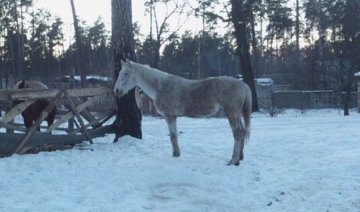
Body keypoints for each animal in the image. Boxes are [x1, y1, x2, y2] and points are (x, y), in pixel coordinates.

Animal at [114, 59, 252, 166]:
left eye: (126, 73)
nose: (117, 91)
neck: (161, 86)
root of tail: (242, 84)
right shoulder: (173, 117)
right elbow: (174, 135)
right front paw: (176, 154)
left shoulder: (169, 116)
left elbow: (173, 136)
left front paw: (175, 154)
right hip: (236, 114)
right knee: (242, 132)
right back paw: (240, 157)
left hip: (232, 114)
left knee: (237, 134)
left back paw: (233, 161)